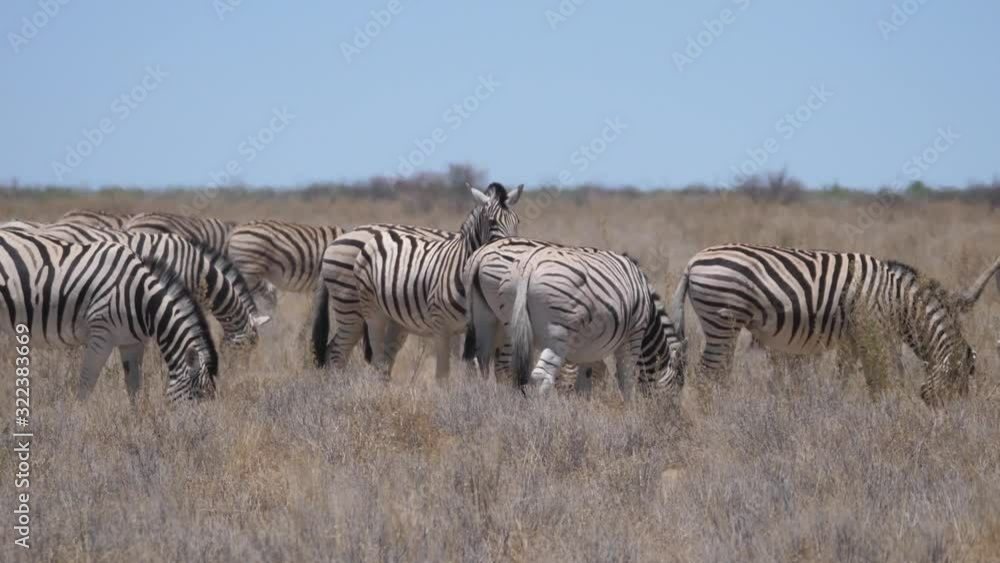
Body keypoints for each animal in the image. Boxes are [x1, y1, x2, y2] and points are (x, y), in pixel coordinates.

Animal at [0, 230, 219, 401]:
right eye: (198, 395)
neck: (140, 297)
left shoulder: (131, 342)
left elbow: (134, 387)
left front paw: (137, 422)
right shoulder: (101, 335)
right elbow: (87, 383)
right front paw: (80, 420)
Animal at [311, 182, 523, 380]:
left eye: (517, 222)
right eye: (492, 222)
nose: (512, 253)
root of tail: (335, 241)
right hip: (351, 305)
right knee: (338, 352)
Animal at [463, 237, 686, 398]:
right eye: (677, 385)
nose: (670, 414)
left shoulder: (590, 349)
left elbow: (586, 383)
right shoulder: (633, 334)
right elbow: (626, 380)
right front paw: (630, 414)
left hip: (493, 320)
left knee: (481, 363)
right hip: (556, 334)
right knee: (537, 375)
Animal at [673, 244, 998, 406]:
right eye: (962, 381)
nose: (952, 421)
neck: (897, 299)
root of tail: (692, 262)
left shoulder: (853, 338)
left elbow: (847, 376)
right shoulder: (873, 332)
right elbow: (884, 377)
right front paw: (886, 410)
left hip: (723, 323)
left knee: (715, 373)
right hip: (722, 320)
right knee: (708, 375)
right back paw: (717, 415)